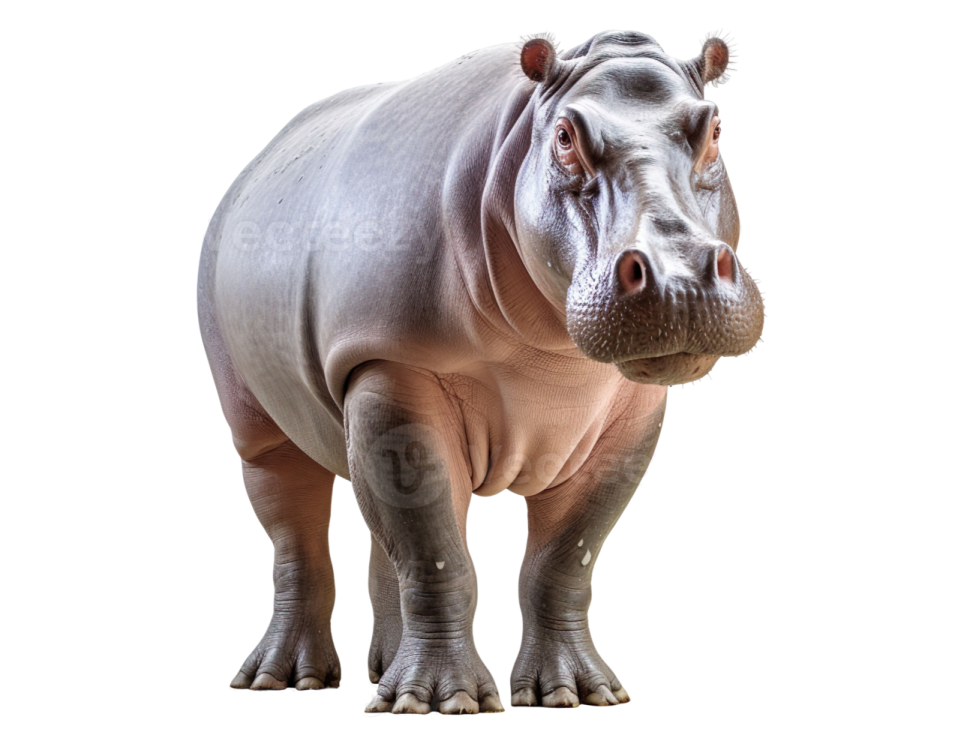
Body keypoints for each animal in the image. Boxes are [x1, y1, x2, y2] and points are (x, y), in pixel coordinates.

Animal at [195, 28, 765, 716]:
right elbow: (437, 554)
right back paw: (287, 683)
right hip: (259, 416)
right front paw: (446, 703)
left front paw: (577, 695)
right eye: (565, 136)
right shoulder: (390, 364)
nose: (678, 276)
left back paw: (382, 679)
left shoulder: (630, 418)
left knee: (382, 533)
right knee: (290, 516)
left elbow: (563, 559)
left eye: (715, 128)